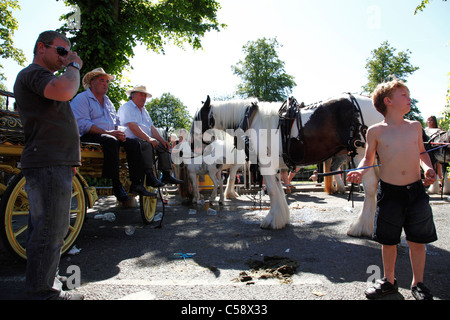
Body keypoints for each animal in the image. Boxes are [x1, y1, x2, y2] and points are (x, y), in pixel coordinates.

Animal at [193, 94, 384, 236]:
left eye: (197, 119)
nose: (193, 146)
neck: (251, 119)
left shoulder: (265, 164)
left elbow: (272, 191)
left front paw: (271, 220)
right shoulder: (274, 165)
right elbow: (278, 189)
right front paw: (281, 218)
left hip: (361, 154)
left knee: (370, 186)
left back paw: (360, 227)